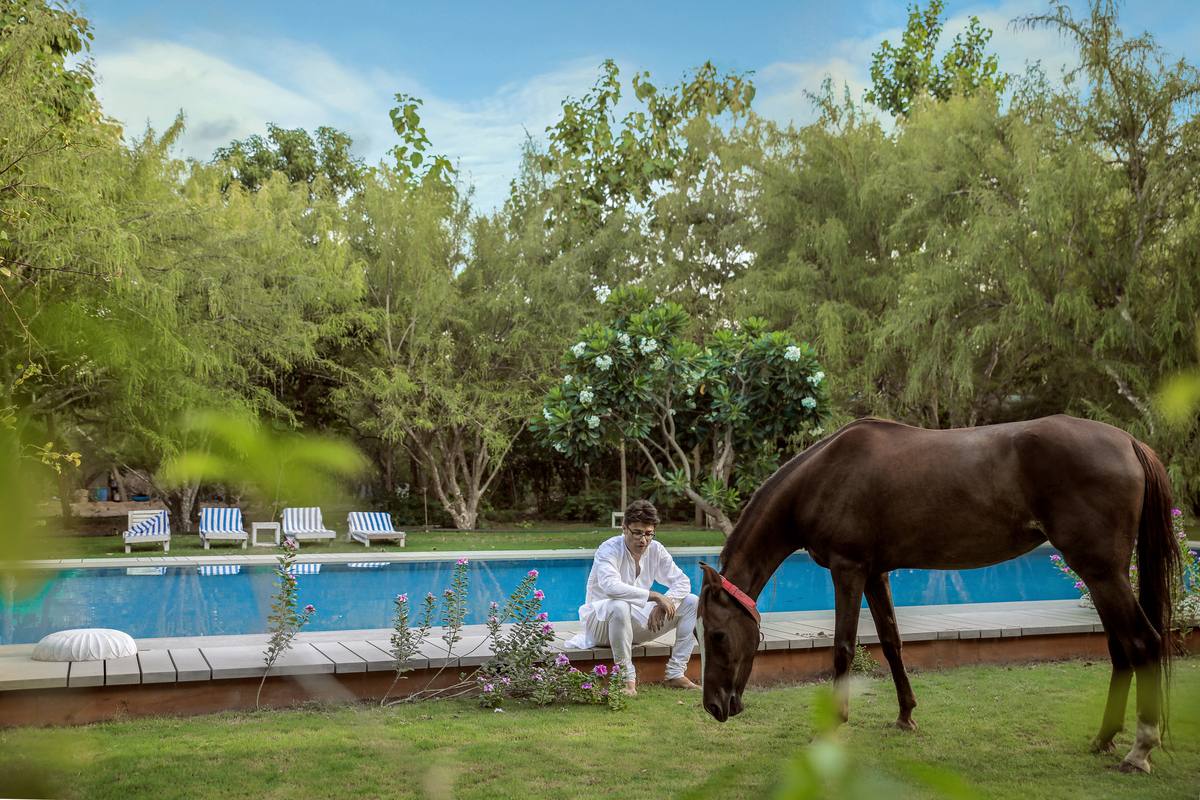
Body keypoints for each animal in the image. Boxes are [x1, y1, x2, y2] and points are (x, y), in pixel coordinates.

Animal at [696, 415, 1180, 774]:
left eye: (717, 635)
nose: (714, 707)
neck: (824, 475)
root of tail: (1128, 441)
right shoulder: (876, 573)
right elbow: (891, 642)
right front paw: (906, 714)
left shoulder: (848, 569)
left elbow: (844, 647)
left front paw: (833, 725)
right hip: (1101, 576)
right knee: (1121, 650)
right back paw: (1103, 738)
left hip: (1102, 572)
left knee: (1143, 643)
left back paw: (1139, 751)